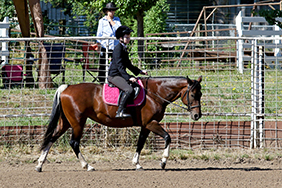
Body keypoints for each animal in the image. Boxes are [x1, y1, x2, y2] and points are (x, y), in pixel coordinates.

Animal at [35, 76, 203, 172]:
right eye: (193, 94)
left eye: (200, 94)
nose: (197, 115)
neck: (155, 93)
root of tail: (67, 88)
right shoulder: (151, 123)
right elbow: (168, 137)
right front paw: (163, 162)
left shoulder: (145, 125)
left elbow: (140, 143)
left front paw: (137, 164)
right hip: (77, 123)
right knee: (74, 142)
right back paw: (87, 166)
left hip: (66, 122)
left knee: (52, 138)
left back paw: (39, 165)